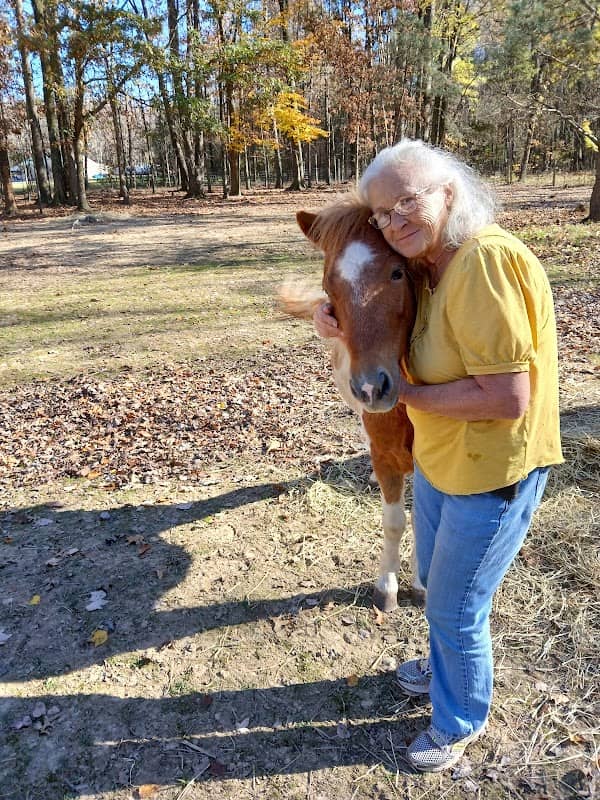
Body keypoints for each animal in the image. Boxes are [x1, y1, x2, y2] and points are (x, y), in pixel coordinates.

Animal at [280, 197, 425, 612]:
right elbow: (395, 521)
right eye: (329, 284)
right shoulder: (386, 450)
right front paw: (388, 587)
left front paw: (421, 583)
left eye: (398, 272)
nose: (372, 388)